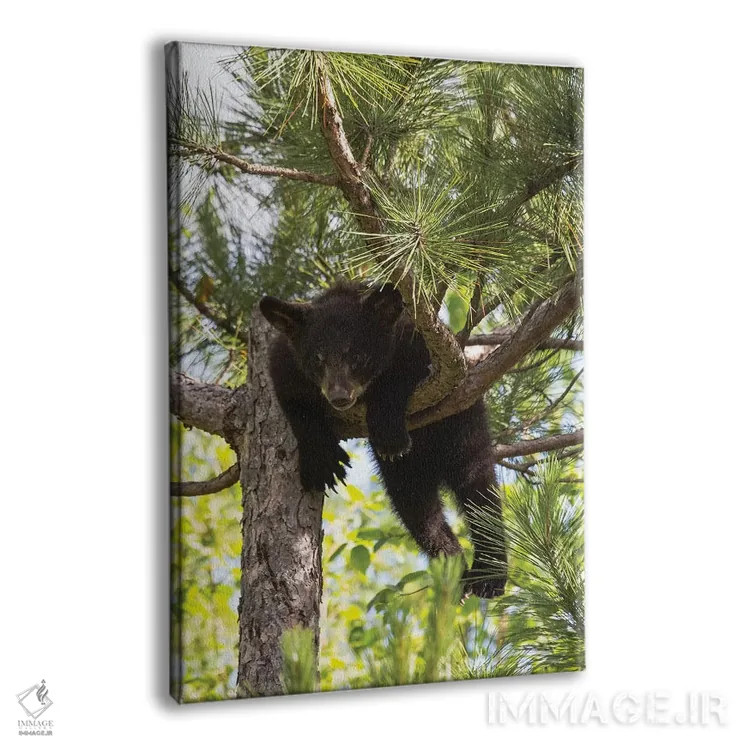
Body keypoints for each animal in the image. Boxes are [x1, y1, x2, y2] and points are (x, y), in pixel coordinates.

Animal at [259, 280, 506, 598]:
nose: (339, 397)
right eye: (318, 357)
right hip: (404, 474)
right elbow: (295, 402)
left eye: (357, 356)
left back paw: (490, 575)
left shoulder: (417, 343)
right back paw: (453, 564)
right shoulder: (286, 362)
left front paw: (388, 432)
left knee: (479, 490)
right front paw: (322, 461)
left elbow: (401, 377)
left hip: (463, 426)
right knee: (417, 507)